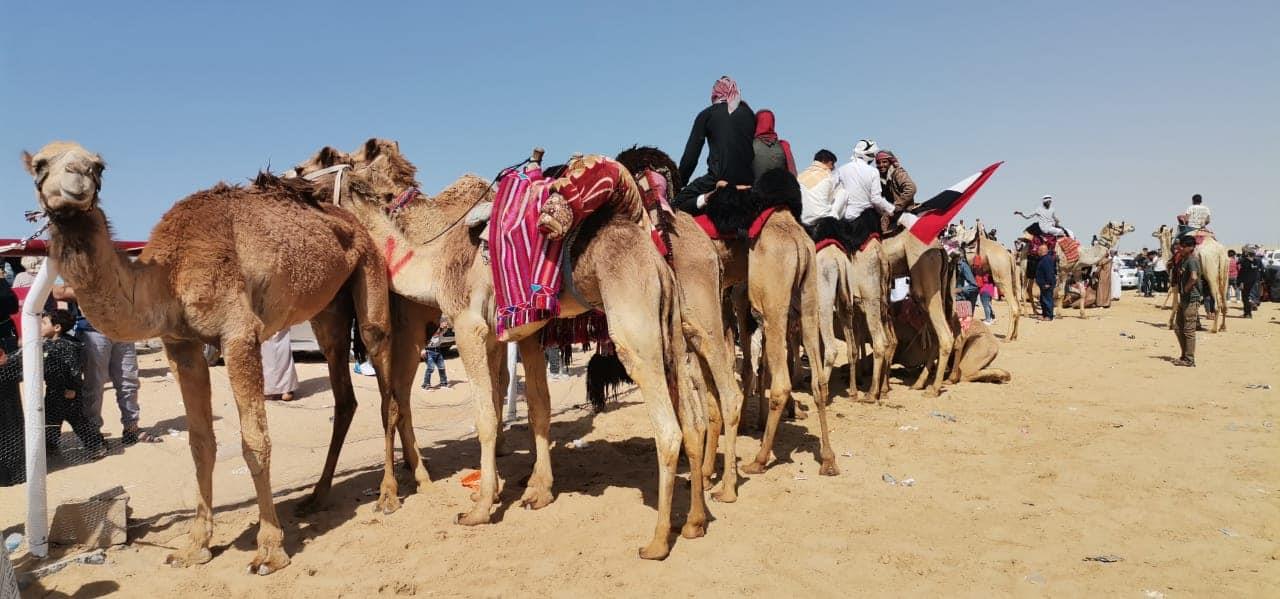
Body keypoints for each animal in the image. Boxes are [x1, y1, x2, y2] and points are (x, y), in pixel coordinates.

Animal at [21, 141, 409, 575]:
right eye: (39, 165)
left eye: (97, 166)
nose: (74, 182)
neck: (167, 277)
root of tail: (352, 219)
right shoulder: (181, 345)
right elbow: (200, 443)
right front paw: (195, 546)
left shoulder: (238, 334)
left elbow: (255, 441)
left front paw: (269, 550)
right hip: (328, 309)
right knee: (344, 393)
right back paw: (316, 496)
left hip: (370, 277)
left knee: (386, 391)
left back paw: (388, 495)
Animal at [289, 145, 706, 560]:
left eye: (320, 161)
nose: (288, 178)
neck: (434, 260)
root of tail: (655, 261)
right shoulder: (517, 332)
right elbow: (536, 406)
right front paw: (535, 492)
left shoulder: (468, 325)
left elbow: (486, 418)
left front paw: (479, 508)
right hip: (669, 327)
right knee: (692, 421)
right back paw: (695, 522)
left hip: (634, 325)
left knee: (668, 429)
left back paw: (657, 541)